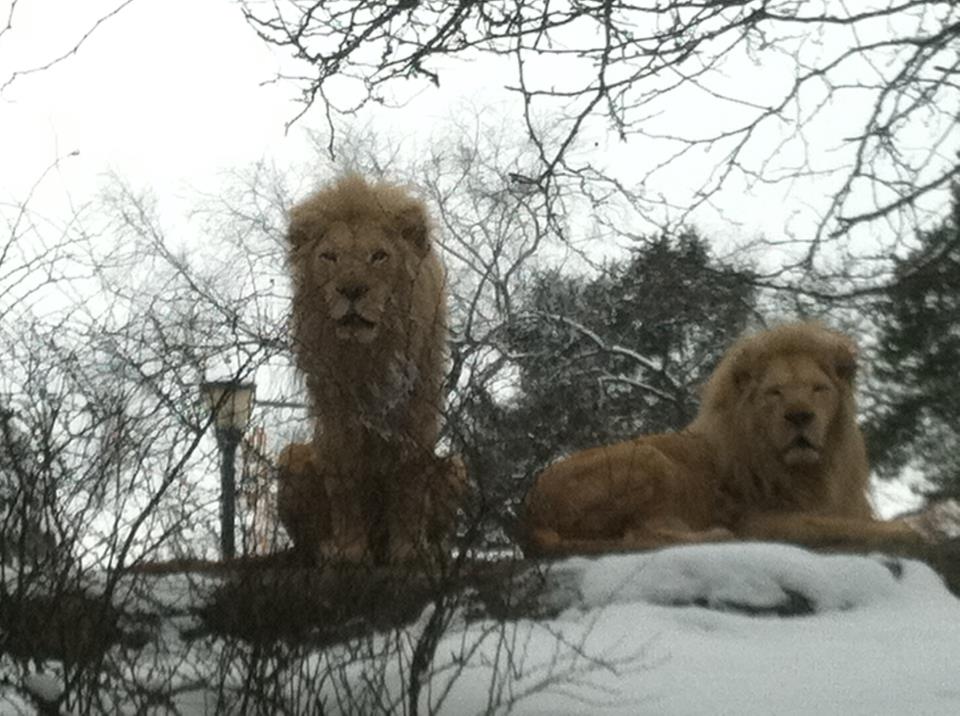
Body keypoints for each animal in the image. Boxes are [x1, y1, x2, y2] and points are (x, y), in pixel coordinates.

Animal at [279, 174, 464, 563]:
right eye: (329, 257)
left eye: (378, 256)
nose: (351, 289)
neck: (368, 354)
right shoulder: (336, 408)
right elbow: (345, 480)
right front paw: (349, 551)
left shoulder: (418, 404)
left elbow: (409, 477)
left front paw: (409, 551)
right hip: (289, 456)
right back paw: (326, 547)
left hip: (457, 465)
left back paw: (434, 549)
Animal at [522, 322, 925, 557]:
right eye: (775, 393)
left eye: (818, 389)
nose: (799, 416)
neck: (809, 469)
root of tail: (529, 513)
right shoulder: (758, 520)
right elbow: (837, 526)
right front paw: (909, 529)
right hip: (649, 458)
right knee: (638, 535)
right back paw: (715, 535)